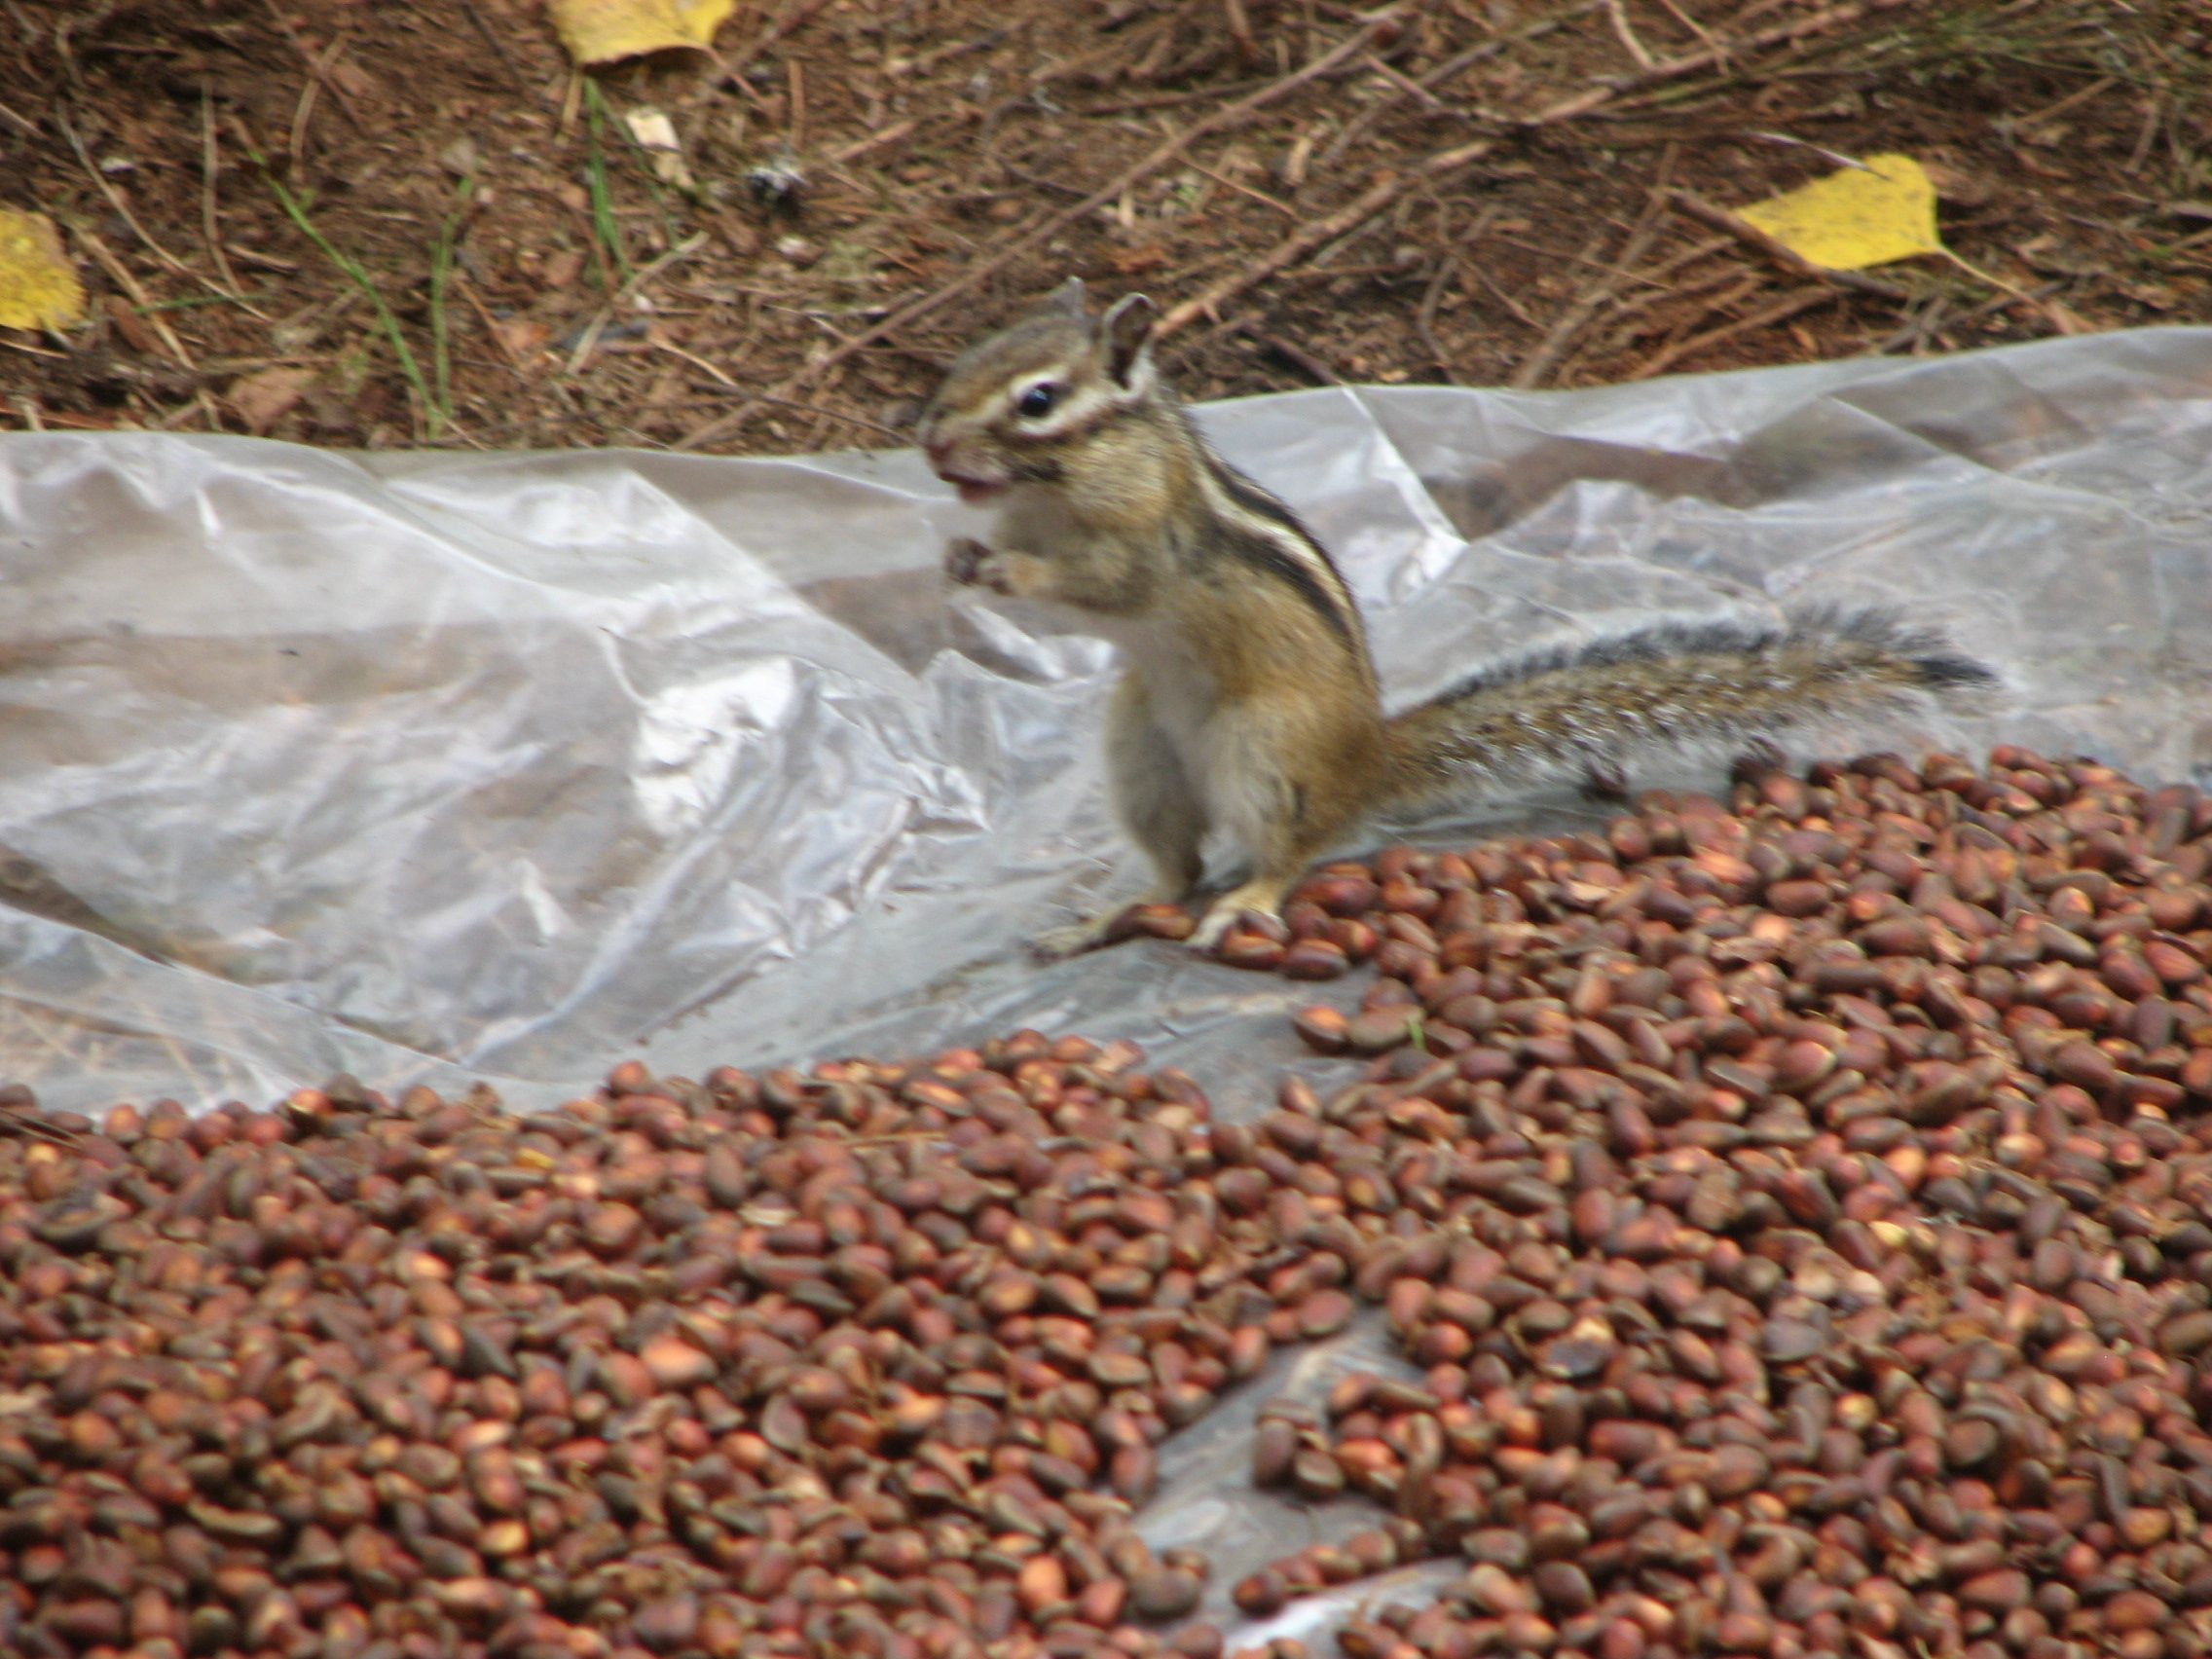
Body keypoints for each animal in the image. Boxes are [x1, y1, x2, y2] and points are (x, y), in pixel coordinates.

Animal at [916, 279, 1999, 956]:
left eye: (1037, 400)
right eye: (965, 358)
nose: (929, 442)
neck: (1058, 485)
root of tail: (1364, 761)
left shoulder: (1145, 540)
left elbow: (1105, 586)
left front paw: (1000, 567)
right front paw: (954, 560)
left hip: (1262, 752)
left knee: (1284, 855)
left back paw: (1246, 902)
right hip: (1142, 754)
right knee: (1176, 874)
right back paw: (1102, 921)